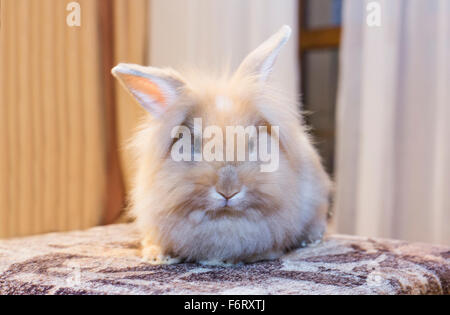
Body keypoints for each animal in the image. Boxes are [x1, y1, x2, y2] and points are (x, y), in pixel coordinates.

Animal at [111, 25, 332, 266]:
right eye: (193, 145)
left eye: (252, 143)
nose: (228, 191)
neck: (223, 218)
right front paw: (157, 256)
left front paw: (227, 260)